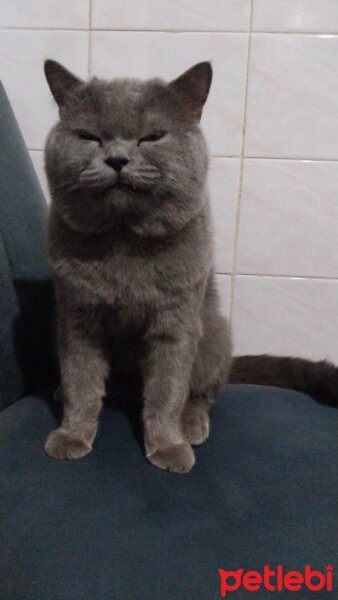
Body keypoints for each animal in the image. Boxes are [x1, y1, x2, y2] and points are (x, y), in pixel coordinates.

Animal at [43, 61, 336, 474]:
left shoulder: (176, 322)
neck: (124, 241)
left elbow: (168, 390)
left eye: (152, 136)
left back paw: (191, 425)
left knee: (202, 393)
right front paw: (72, 435)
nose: (116, 159)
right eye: (88, 136)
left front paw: (167, 446)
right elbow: (81, 382)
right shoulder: (77, 317)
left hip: (213, 331)